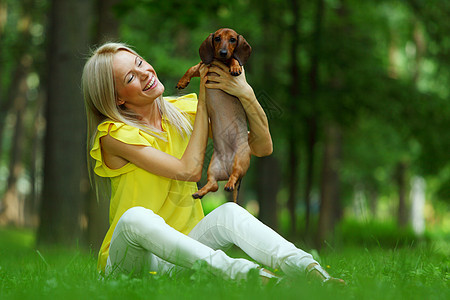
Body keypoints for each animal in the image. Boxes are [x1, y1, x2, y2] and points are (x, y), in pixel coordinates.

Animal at [177, 28, 253, 202]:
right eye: (217, 38)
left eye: (233, 39)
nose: (223, 53)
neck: (219, 61)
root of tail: (226, 169)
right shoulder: (204, 64)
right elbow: (192, 68)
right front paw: (182, 82)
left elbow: (234, 59)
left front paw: (235, 66)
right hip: (212, 167)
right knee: (213, 185)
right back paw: (199, 192)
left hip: (240, 160)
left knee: (233, 176)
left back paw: (230, 184)